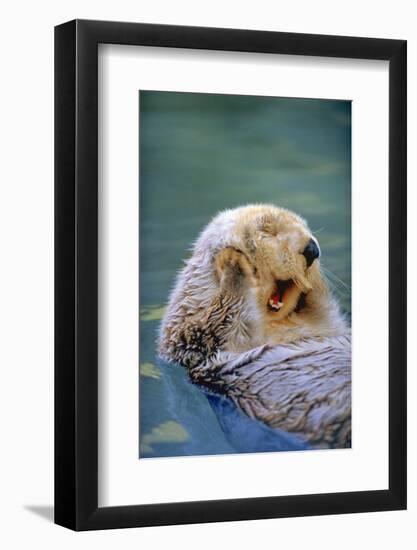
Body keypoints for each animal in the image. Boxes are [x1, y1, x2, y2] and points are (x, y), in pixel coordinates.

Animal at [158, 204, 350, 448]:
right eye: (268, 231)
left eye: (305, 228)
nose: (312, 249)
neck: (277, 324)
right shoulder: (193, 339)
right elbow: (219, 321)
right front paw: (232, 261)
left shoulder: (325, 325)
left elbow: (326, 313)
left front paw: (313, 282)